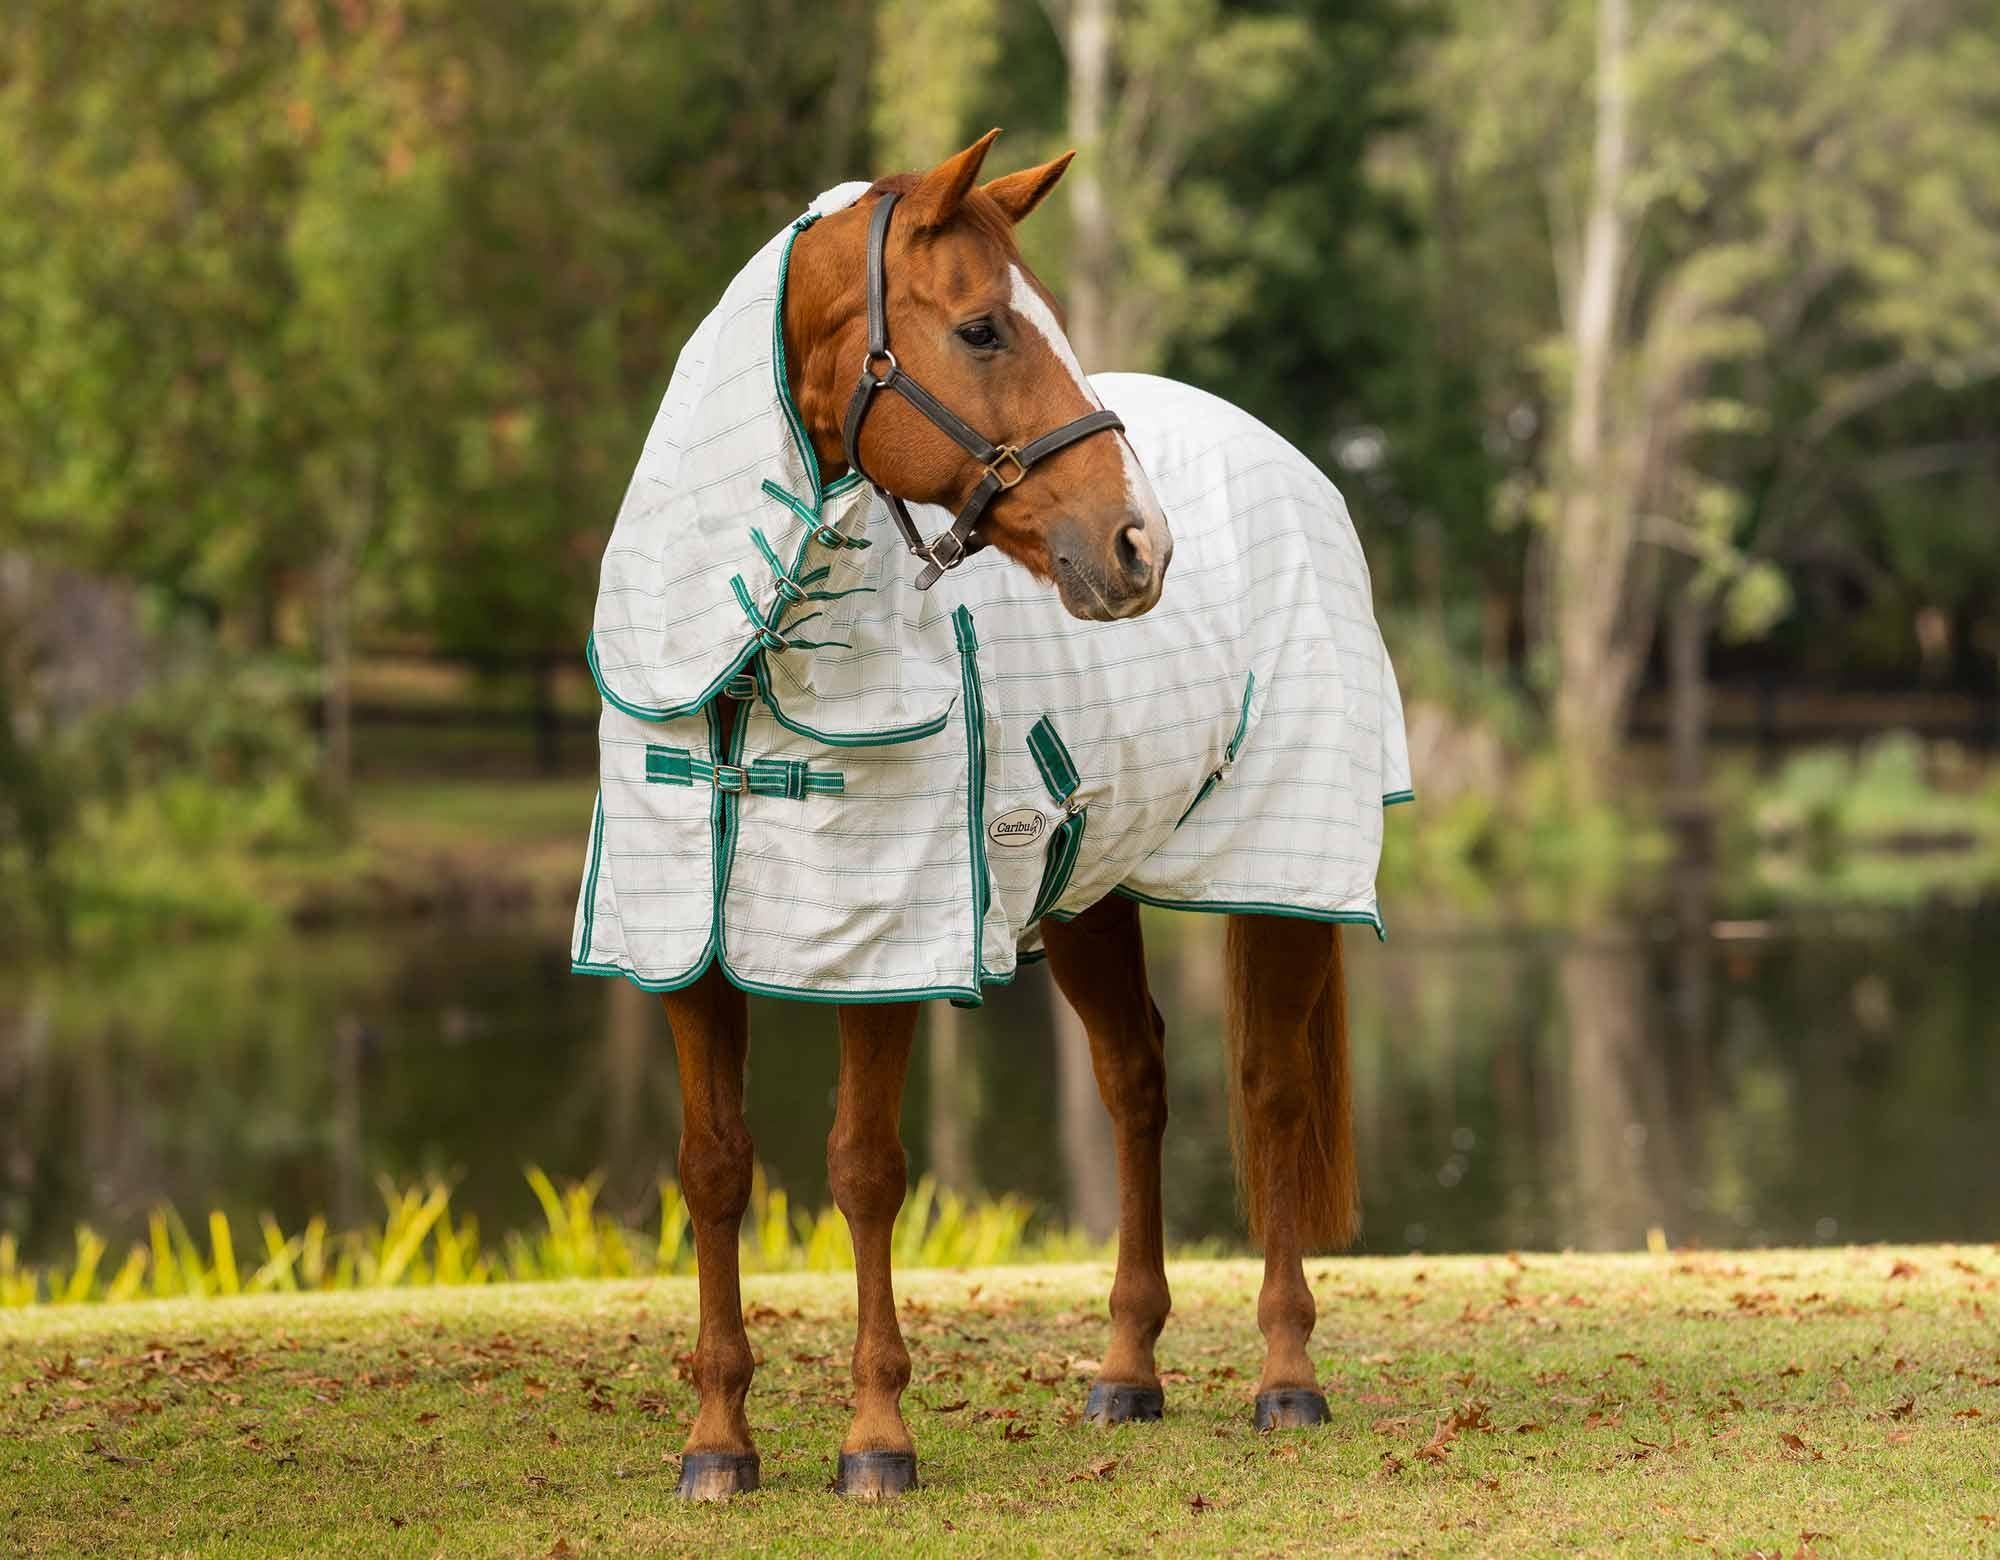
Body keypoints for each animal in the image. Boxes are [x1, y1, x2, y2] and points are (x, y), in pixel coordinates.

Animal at [574, 130, 1410, 1500]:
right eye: (978, 328)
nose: (1139, 545)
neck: (749, 664)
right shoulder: (683, 950)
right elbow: (712, 1168)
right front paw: (717, 1442)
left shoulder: (881, 949)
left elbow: (864, 1170)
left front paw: (874, 1438)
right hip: (1085, 894)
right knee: (1136, 1083)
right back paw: (1125, 1370)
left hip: (1282, 870)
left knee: (1271, 1092)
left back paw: (1285, 1377)